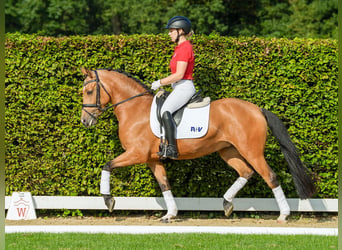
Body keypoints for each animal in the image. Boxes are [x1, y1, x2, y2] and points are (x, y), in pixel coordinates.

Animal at [80, 68, 316, 223]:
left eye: (89, 92)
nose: (85, 121)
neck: (134, 108)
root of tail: (257, 109)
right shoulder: (152, 159)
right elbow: (164, 185)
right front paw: (170, 214)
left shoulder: (135, 153)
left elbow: (107, 165)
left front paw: (108, 200)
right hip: (227, 151)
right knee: (246, 172)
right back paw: (227, 204)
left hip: (252, 151)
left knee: (270, 176)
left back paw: (283, 215)